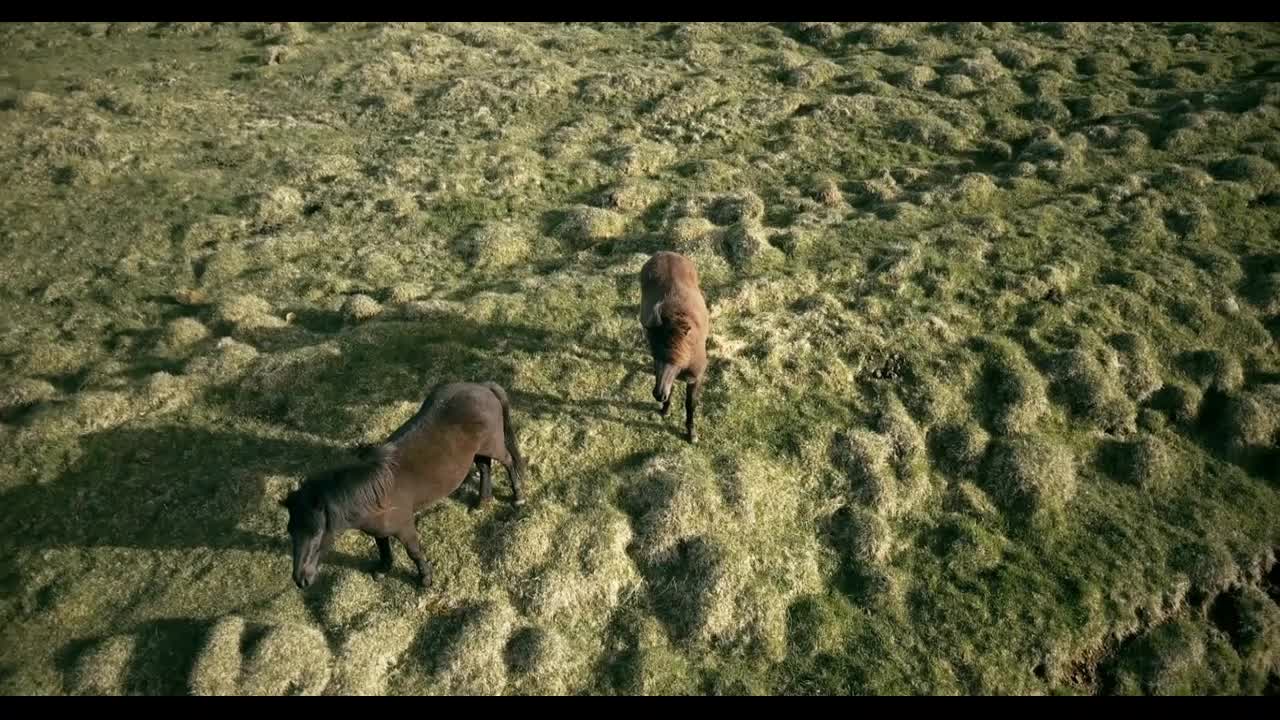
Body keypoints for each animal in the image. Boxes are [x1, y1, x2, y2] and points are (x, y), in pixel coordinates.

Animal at [281, 381, 524, 589]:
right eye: (290, 530)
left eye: (316, 533)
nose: (300, 580)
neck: (375, 493)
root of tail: (483, 387)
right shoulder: (378, 529)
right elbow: (383, 549)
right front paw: (383, 569)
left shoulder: (404, 526)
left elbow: (413, 551)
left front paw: (425, 579)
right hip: (477, 451)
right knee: (484, 468)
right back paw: (483, 502)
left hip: (492, 445)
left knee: (508, 461)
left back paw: (518, 496)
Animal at [640, 252, 711, 443]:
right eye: (654, 354)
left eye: (676, 358)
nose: (658, 395)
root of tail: (664, 253)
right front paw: (665, 410)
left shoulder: (695, 378)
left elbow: (690, 404)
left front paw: (691, 434)